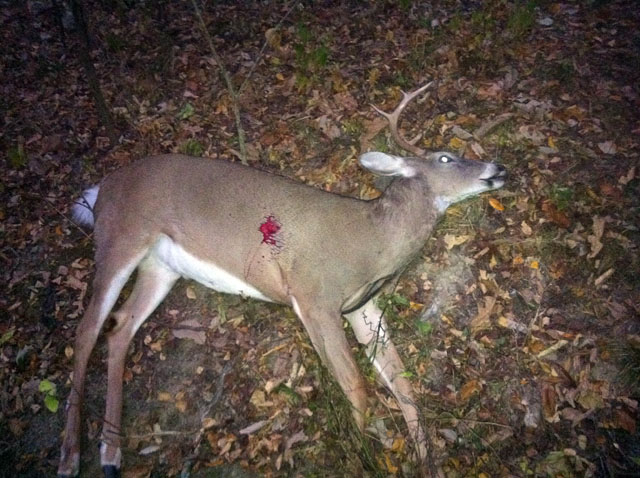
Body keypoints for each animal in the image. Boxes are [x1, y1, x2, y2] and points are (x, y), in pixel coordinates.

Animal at [57, 82, 506, 477]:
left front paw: (426, 462)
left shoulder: (363, 307)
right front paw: (357, 456)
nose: (498, 167)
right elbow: (355, 385)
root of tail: (101, 188)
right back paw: (70, 457)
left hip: (161, 266)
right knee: (87, 328)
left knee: (120, 327)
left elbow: (406, 390)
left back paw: (111, 454)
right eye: (445, 158)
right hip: (121, 236)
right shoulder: (313, 294)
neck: (374, 242)